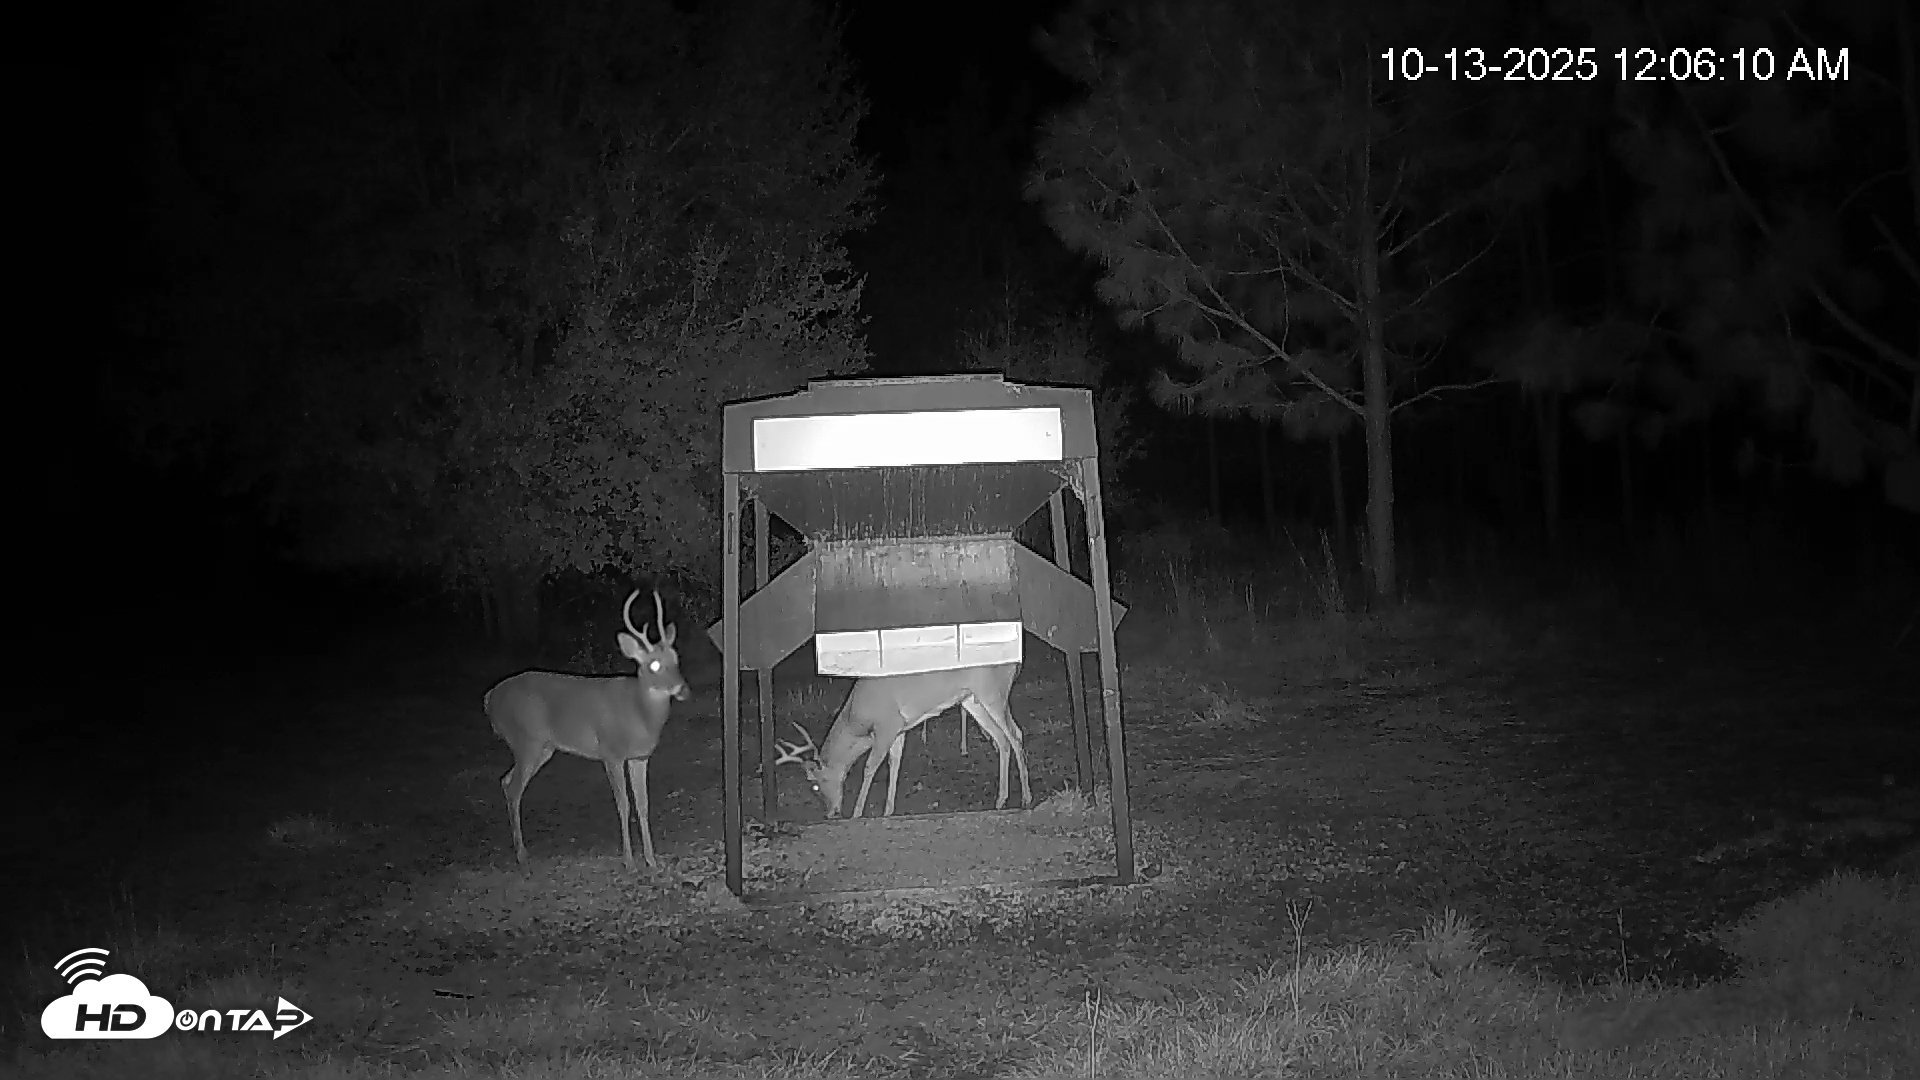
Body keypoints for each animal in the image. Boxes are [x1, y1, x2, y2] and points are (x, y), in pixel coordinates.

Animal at [484, 588, 688, 872]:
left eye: (676, 659)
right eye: (654, 665)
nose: (682, 689)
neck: (638, 713)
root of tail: (490, 698)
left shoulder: (640, 757)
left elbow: (643, 805)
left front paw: (651, 860)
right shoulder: (611, 752)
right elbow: (623, 804)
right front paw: (629, 861)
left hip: (542, 748)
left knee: (505, 781)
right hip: (526, 740)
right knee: (513, 788)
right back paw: (522, 855)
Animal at [773, 662, 1032, 819]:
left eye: (816, 785)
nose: (829, 813)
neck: (857, 719)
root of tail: (1015, 664)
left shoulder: (887, 724)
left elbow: (870, 767)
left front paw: (857, 812)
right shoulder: (898, 729)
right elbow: (894, 763)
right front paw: (888, 810)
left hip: (993, 693)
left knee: (1014, 735)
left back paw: (1026, 798)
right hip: (972, 700)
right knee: (1004, 738)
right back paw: (1001, 800)